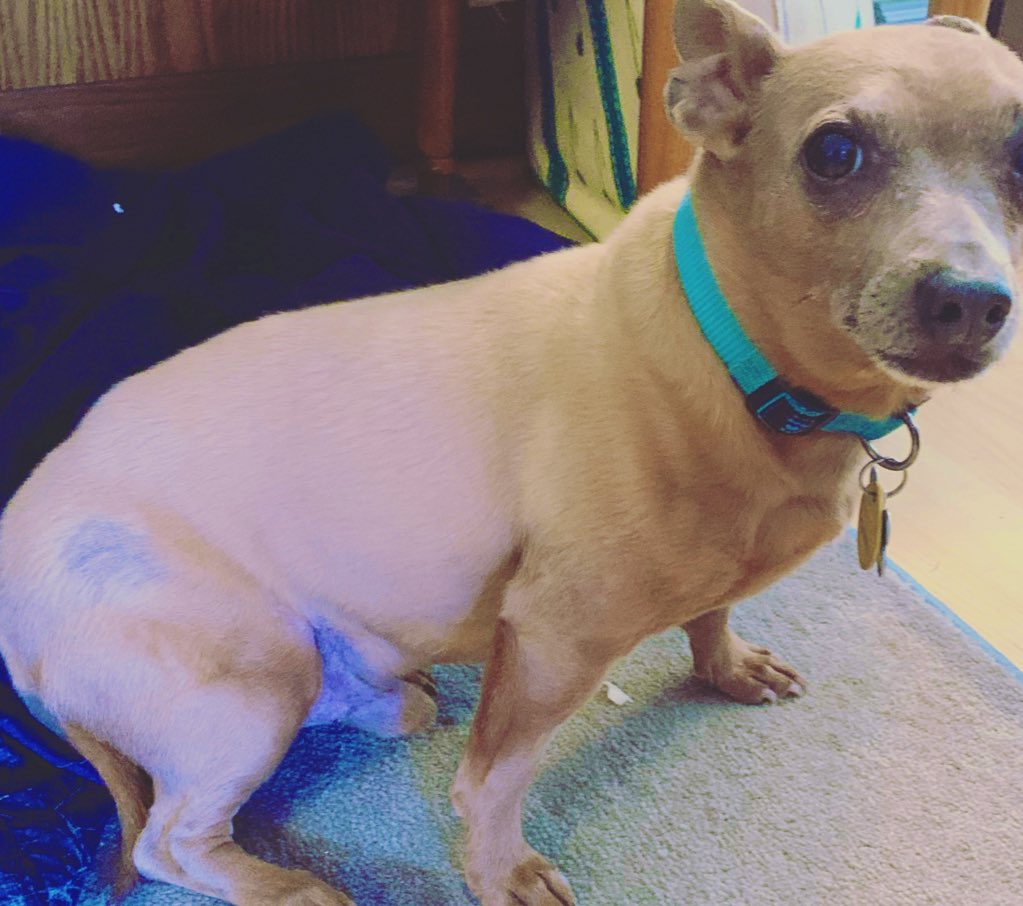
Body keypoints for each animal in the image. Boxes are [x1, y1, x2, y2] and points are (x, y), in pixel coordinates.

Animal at [2, 1, 1021, 903]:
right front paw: (499, 873)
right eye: (833, 152)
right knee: (172, 839)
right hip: (251, 677)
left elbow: (711, 612)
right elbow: (493, 782)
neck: (736, 362)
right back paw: (287, 888)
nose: (971, 302)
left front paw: (724, 665)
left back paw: (387, 702)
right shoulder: (549, 641)